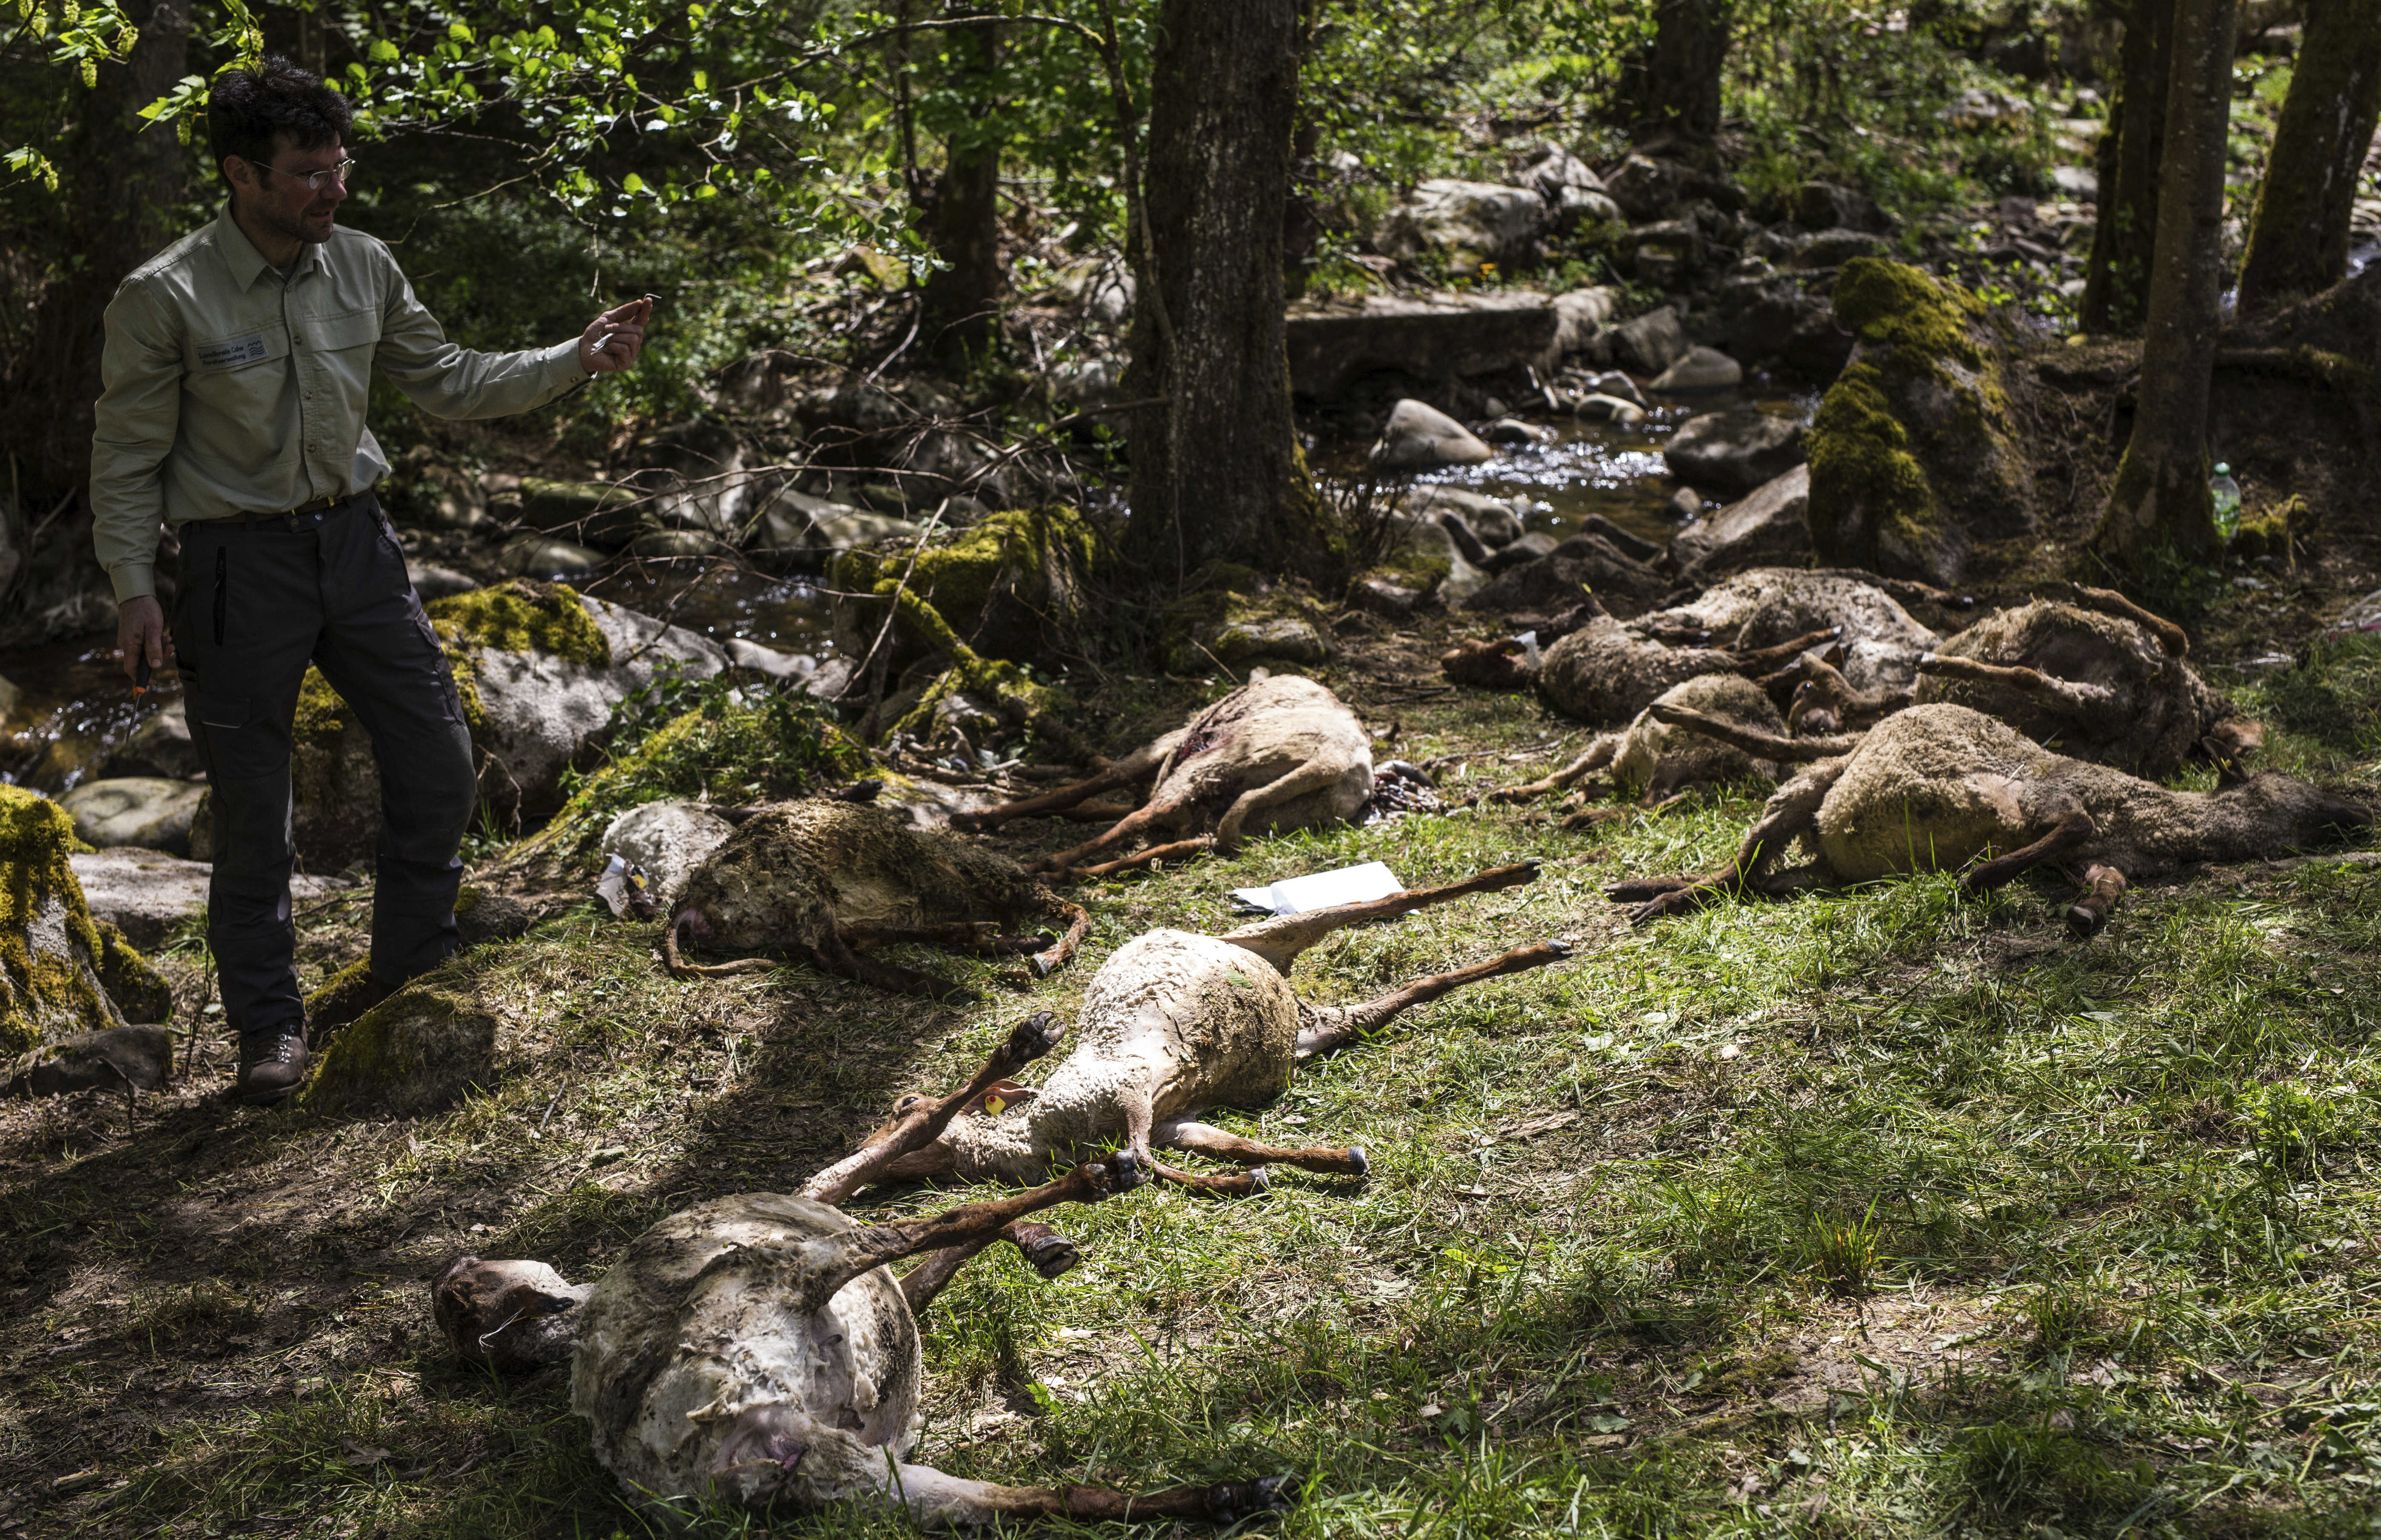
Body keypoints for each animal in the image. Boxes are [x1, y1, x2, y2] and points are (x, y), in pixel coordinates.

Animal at [662, 795, 1090, 999]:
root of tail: (690, 897)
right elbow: (1078, 912)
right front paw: (1048, 953)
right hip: (796, 879)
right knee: (836, 953)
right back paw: (956, 984)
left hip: (782, 911)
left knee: (844, 946)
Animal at [952, 676, 1371, 881]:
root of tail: (1333, 763)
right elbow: (1099, 803)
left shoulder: (1163, 746)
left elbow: (1093, 787)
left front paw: (983, 816)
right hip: (1265, 816)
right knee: (1184, 842)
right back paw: (1077, 872)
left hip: (1214, 765)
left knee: (1143, 816)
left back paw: (1050, 865)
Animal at [1609, 700, 2371, 938]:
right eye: (2301, 783)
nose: (2366, 809)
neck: (2153, 821)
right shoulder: (2039, 797)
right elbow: (2066, 824)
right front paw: (1980, 878)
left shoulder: (2095, 857)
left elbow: (2103, 879)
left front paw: (2084, 915)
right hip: (1808, 790)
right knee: (1746, 864)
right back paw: (1658, 897)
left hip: (1826, 872)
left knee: (1759, 881)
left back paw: (1650, 888)